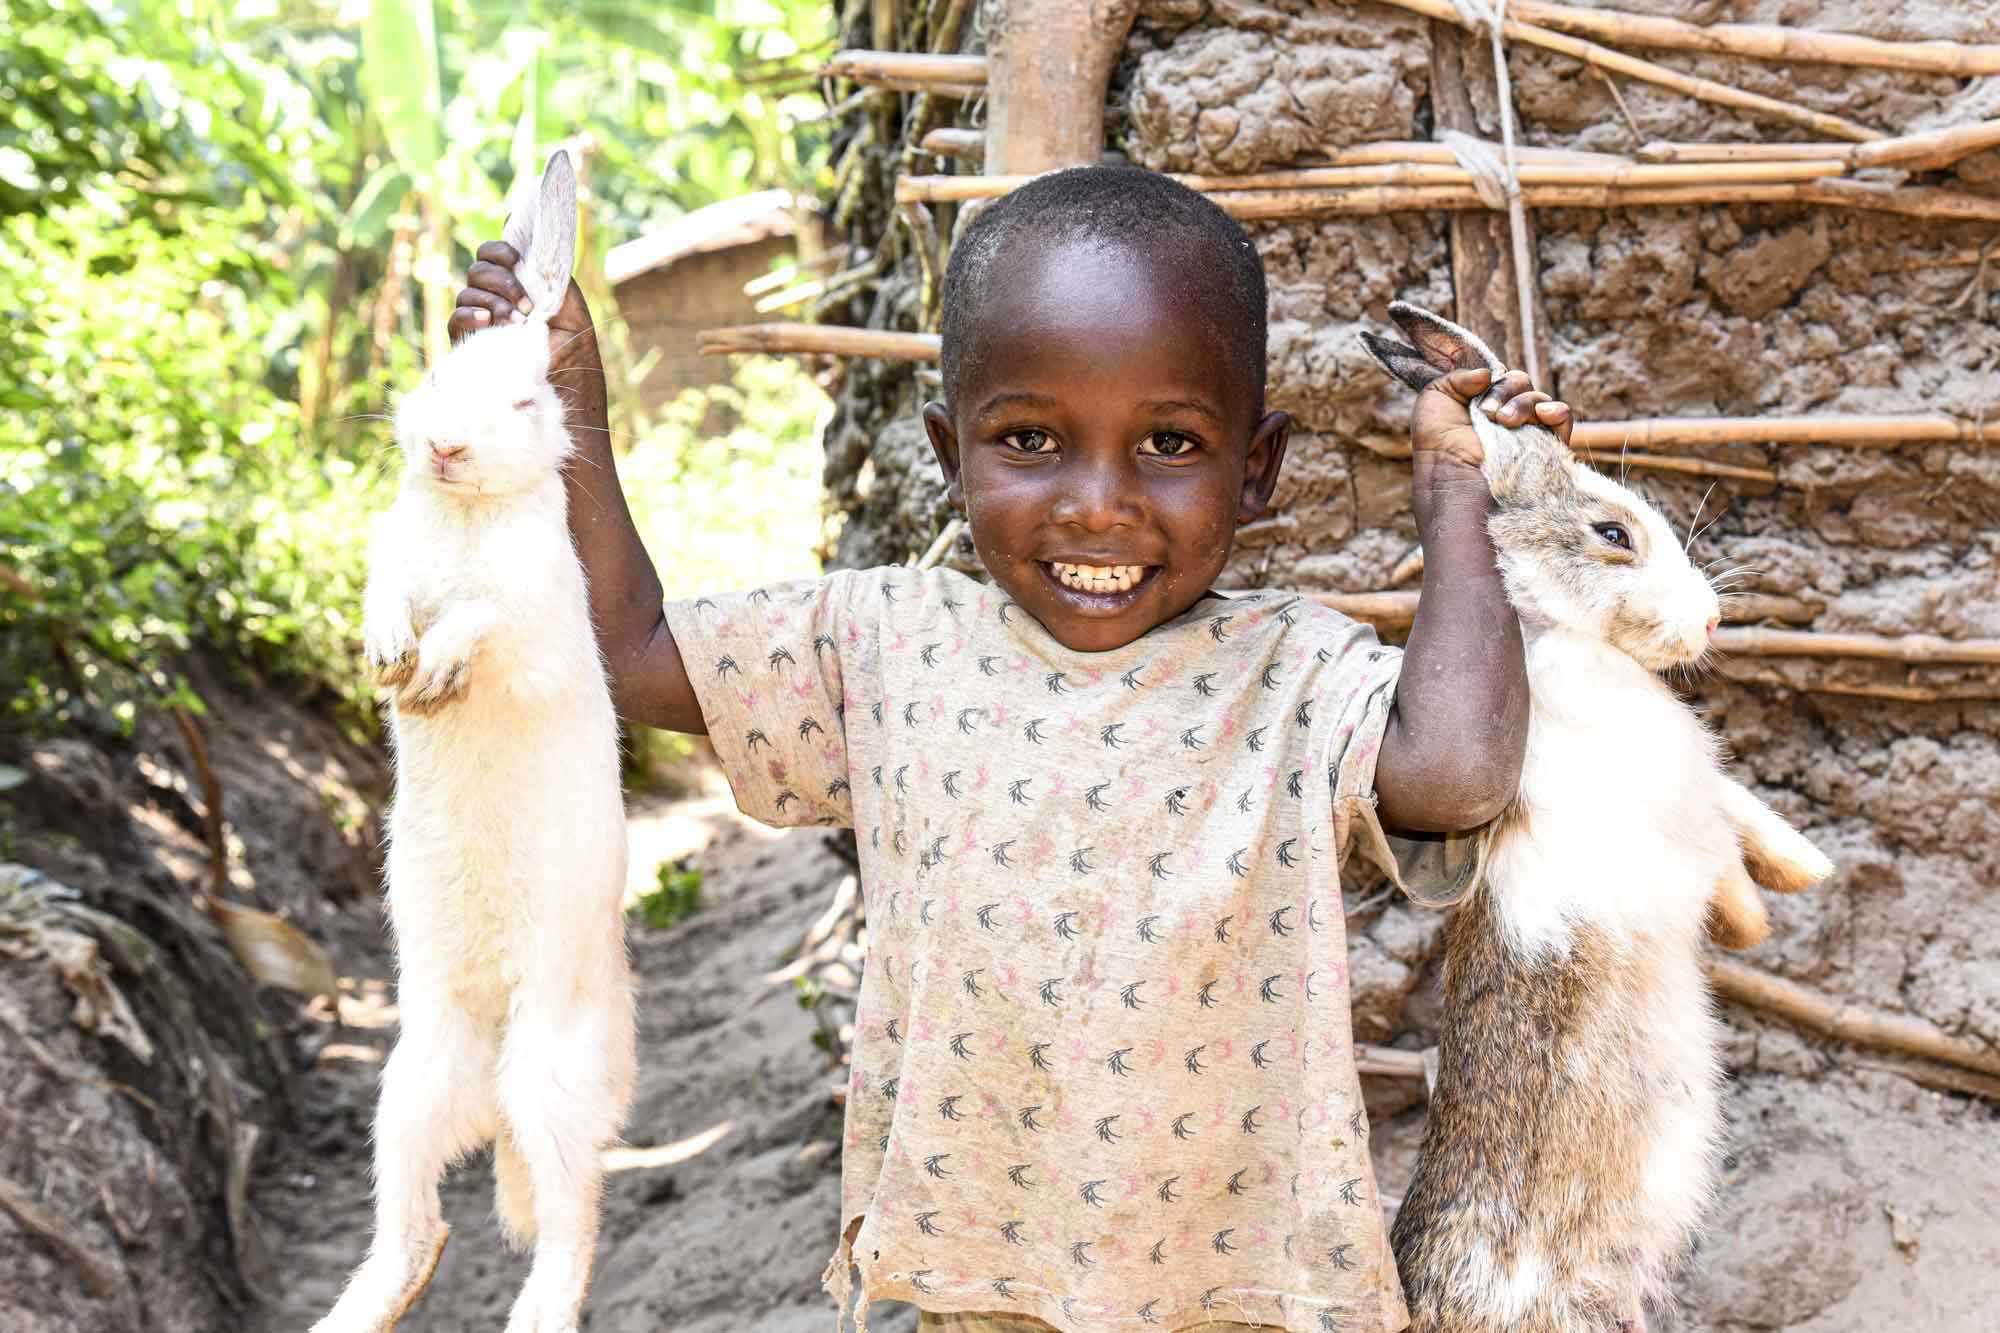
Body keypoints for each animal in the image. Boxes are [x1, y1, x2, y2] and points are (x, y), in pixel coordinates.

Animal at [314, 150, 635, 1333]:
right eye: (436, 378)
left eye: (529, 397)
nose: (445, 447)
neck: (463, 512)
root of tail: (494, 1064)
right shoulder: (390, 561)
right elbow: (387, 598)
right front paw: (387, 660)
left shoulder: (533, 619)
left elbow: (482, 622)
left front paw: (435, 669)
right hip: (409, 1087)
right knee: (422, 1230)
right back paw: (349, 1314)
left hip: (548, 1079)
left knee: (572, 1220)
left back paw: (539, 1313)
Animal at [1358, 302, 1834, 1333]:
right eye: (1612, 530)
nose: (1709, 622)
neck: (1566, 639)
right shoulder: (1678, 809)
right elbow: (1722, 855)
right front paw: (1760, 916)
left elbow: (1743, 809)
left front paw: (1805, 869)